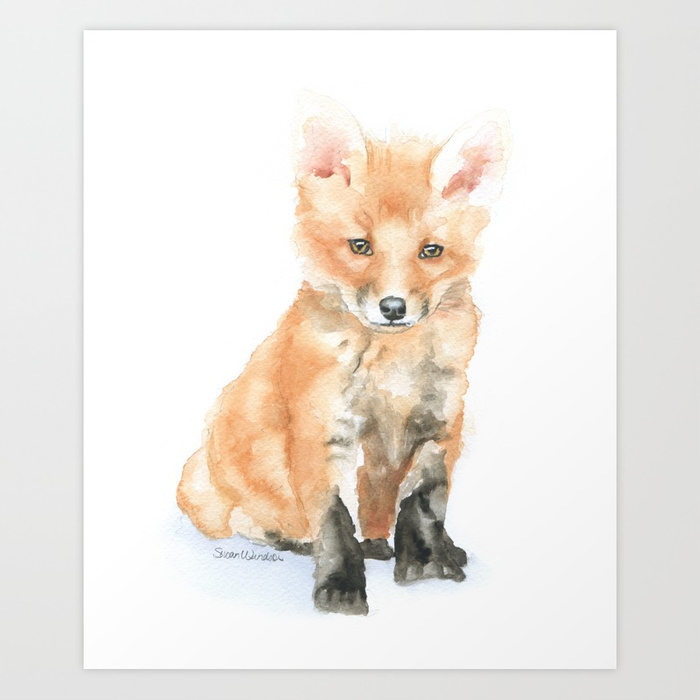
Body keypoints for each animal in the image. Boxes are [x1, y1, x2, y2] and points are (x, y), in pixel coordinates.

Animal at [177, 93, 511, 615]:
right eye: (360, 246)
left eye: (431, 251)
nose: (393, 308)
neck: (394, 371)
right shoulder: (321, 433)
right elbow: (334, 522)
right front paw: (340, 588)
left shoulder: (441, 424)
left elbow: (423, 505)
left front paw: (427, 564)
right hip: (208, 489)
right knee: (252, 522)